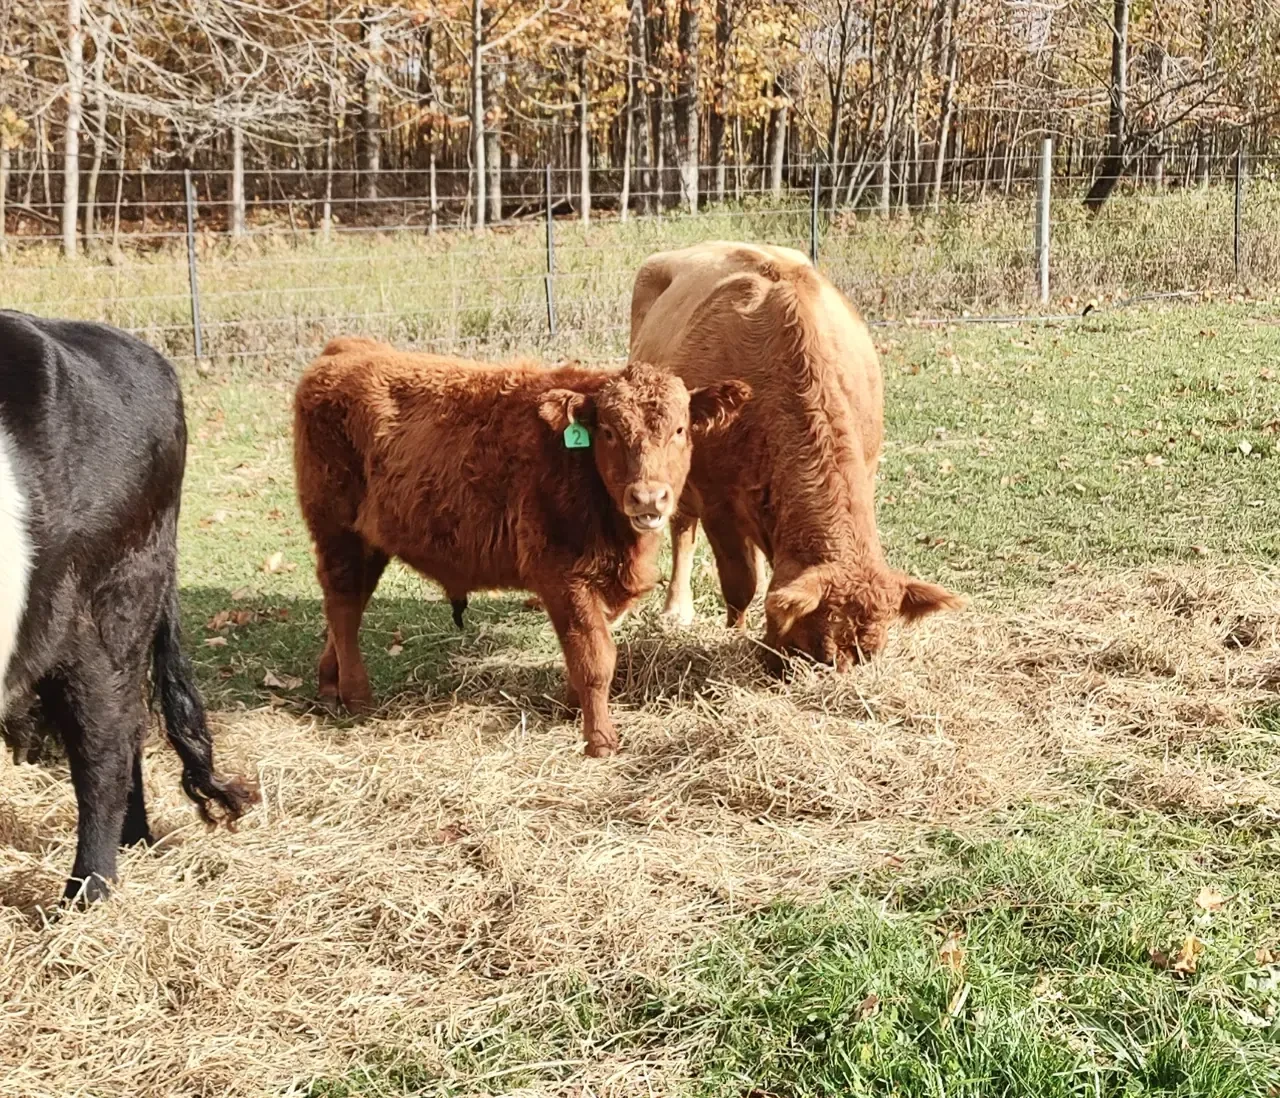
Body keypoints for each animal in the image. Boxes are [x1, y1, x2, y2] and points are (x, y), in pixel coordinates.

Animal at [292, 339, 749, 757]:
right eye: (609, 431)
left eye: (679, 430)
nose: (648, 498)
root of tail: (345, 349)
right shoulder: (563, 575)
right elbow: (596, 658)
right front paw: (599, 740)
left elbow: (585, 649)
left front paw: (571, 707)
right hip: (337, 531)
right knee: (343, 608)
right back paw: (356, 695)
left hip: (368, 543)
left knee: (346, 607)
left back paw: (329, 684)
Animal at [628, 241, 962, 671]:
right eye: (817, 645)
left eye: (868, 655)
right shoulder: (717, 501)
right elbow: (740, 582)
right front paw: (734, 635)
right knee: (682, 528)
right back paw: (676, 610)